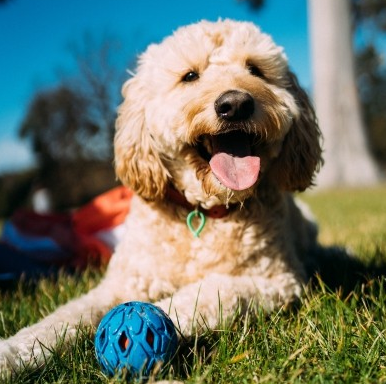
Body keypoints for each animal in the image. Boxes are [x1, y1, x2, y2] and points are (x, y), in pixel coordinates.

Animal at [0, 19, 322, 374]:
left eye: (255, 69)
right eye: (190, 76)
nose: (235, 104)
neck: (202, 212)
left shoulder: (275, 281)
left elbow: (202, 296)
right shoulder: (122, 283)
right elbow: (64, 317)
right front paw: (12, 353)